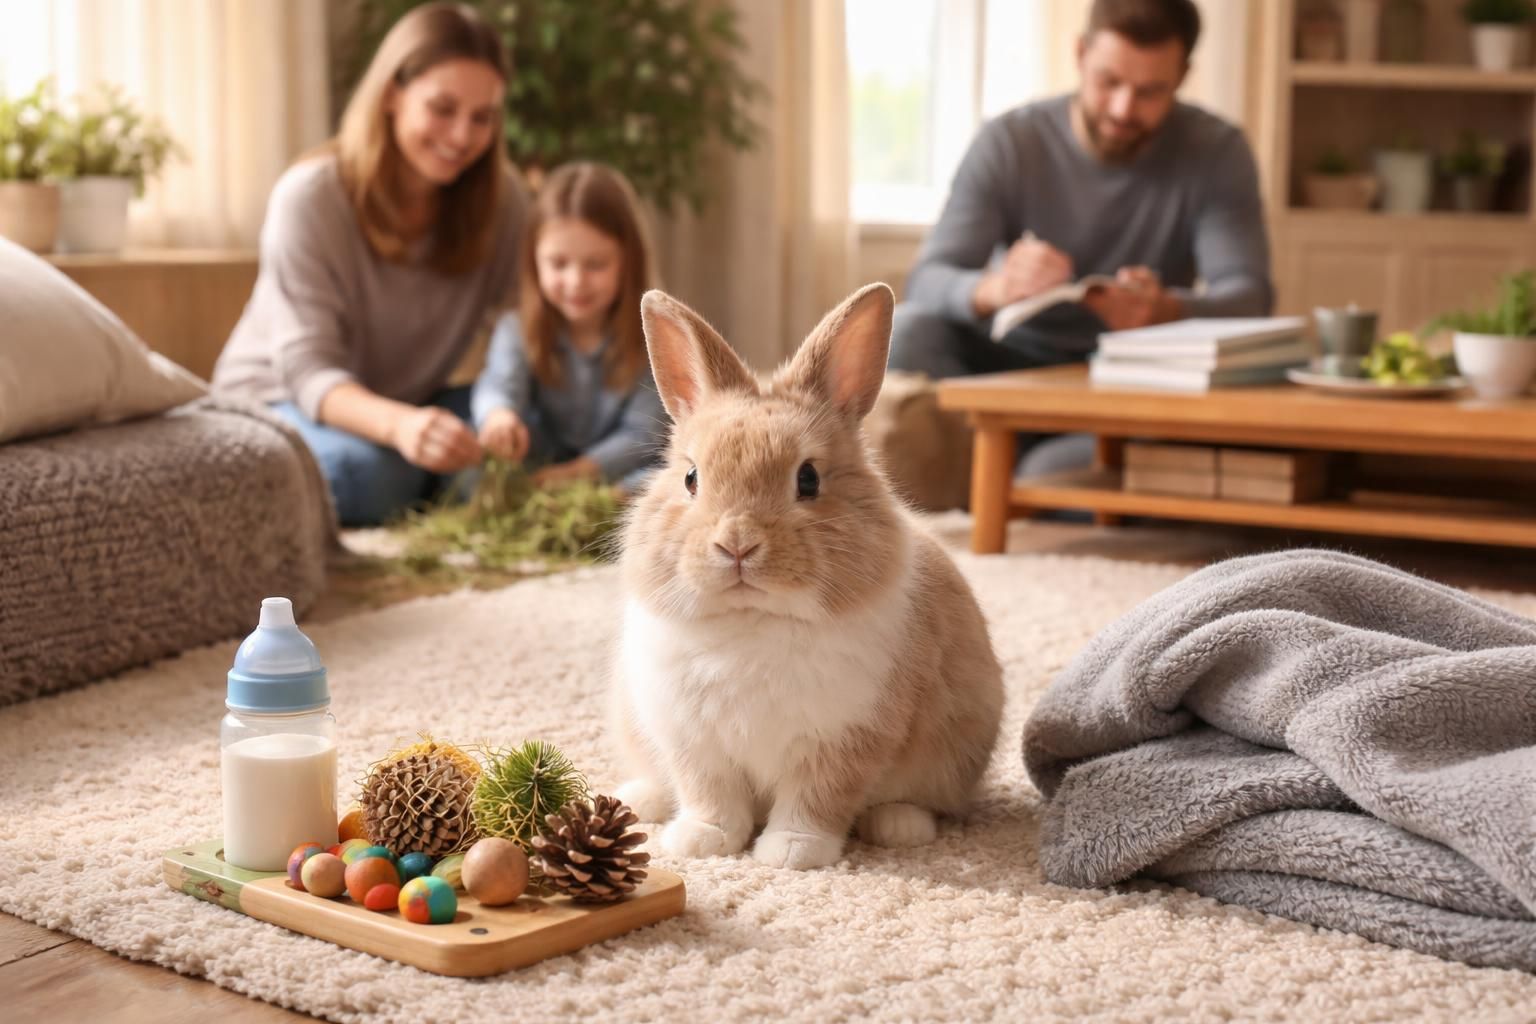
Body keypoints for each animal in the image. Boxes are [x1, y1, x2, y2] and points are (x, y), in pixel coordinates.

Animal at [608, 282, 1004, 870]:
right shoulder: (693, 742)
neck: (753, 618)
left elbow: (817, 799)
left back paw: (900, 827)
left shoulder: (845, 740)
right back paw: (639, 801)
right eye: (691, 478)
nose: (737, 544)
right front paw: (703, 841)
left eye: (809, 478)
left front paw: (791, 853)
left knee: (922, 800)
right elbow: (710, 794)